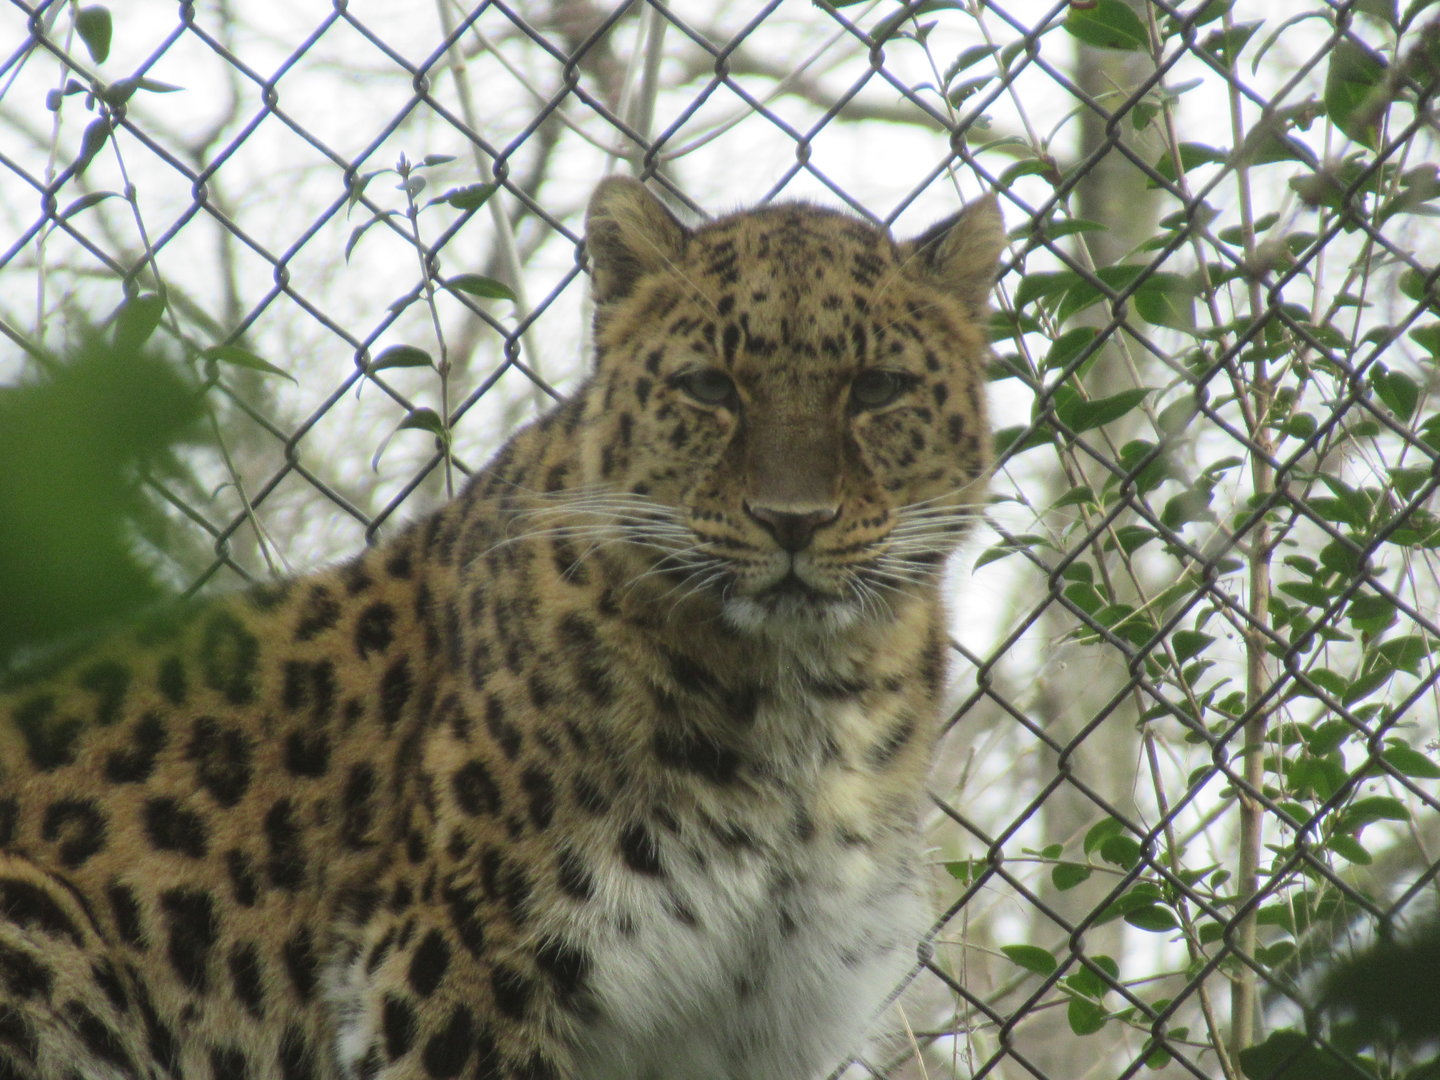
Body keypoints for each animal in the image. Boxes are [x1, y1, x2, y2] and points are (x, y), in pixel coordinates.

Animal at [0, 176, 1003, 1080]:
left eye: (877, 389)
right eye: (710, 386)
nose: (792, 520)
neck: (811, 703)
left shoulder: (772, 1019)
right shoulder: (452, 982)